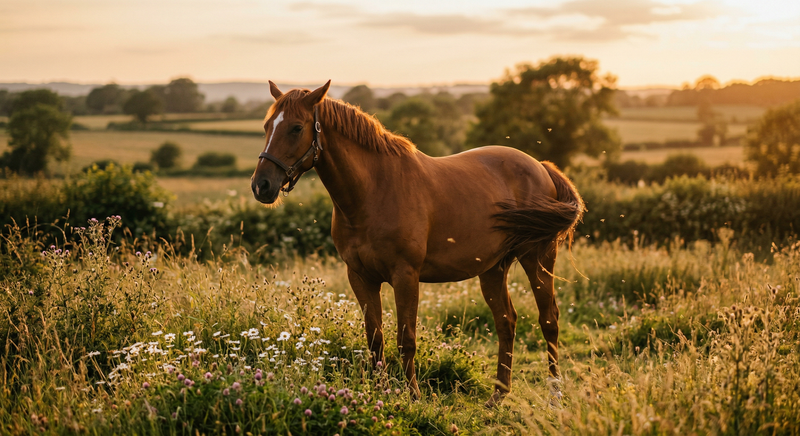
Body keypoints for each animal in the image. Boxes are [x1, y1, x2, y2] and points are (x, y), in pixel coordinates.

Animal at [251, 80, 585, 406]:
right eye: (267, 125)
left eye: (296, 127)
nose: (261, 185)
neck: (374, 190)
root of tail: (541, 166)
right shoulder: (360, 277)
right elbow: (375, 339)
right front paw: (380, 392)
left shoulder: (405, 276)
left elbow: (406, 339)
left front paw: (413, 396)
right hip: (493, 269)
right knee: (507, 322)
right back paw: (497, 396)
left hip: (538, 258)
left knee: (549, 320)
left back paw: (555, 396)